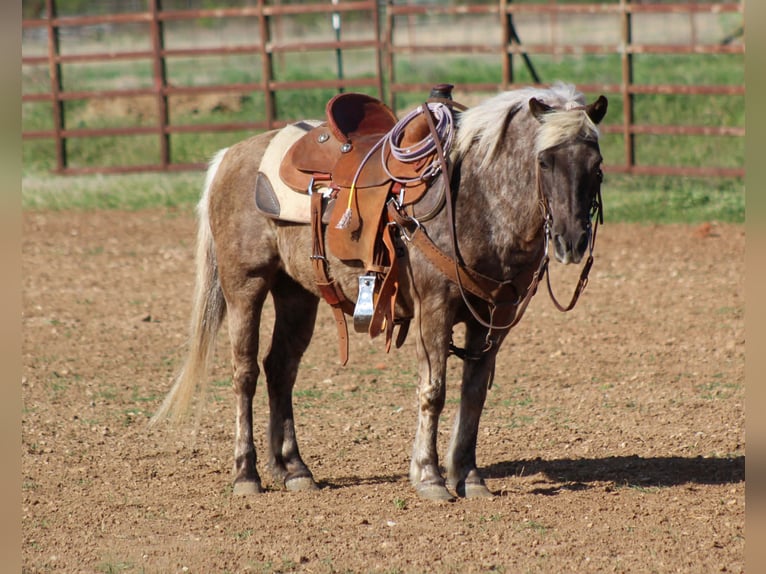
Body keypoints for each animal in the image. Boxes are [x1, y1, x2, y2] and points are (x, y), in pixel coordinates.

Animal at [151, 83, 607, 501]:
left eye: (597, 164)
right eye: (544, 160)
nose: (571, 241)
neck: (474, 198)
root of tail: (230, 156)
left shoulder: (495, 317)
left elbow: (473, 393)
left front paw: (469, 477)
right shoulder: (434, 308)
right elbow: (434, 391)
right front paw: (430, 477)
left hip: (297, 293)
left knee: (280, 369)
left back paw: (293, 470)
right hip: (245, 286)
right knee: (244, 373)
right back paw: (246, 475)